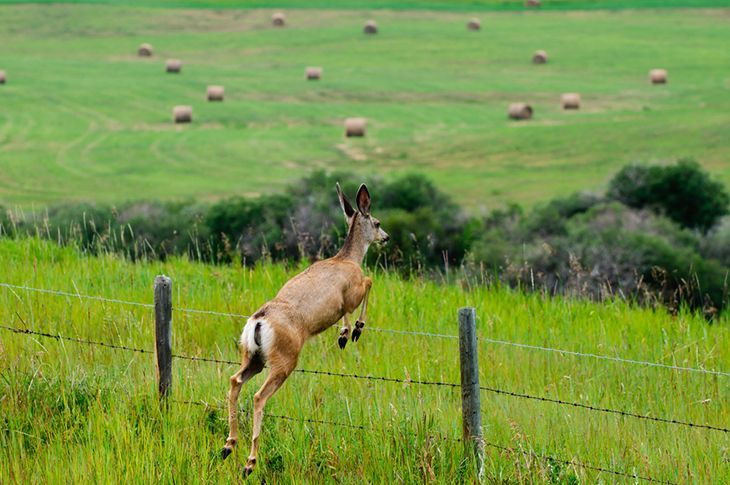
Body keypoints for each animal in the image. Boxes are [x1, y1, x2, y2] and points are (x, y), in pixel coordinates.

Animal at [219, 183, 386, 474]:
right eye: (376, 222)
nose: (385, 237)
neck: (348, 259)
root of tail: (259, 319)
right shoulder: (351, 291)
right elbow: (368, 282)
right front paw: (351, 331)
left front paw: (346, 332)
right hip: (285, 358)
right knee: (259, 396)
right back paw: (250, 462)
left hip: (253, 356)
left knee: (235, 381)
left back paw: (229, 445)